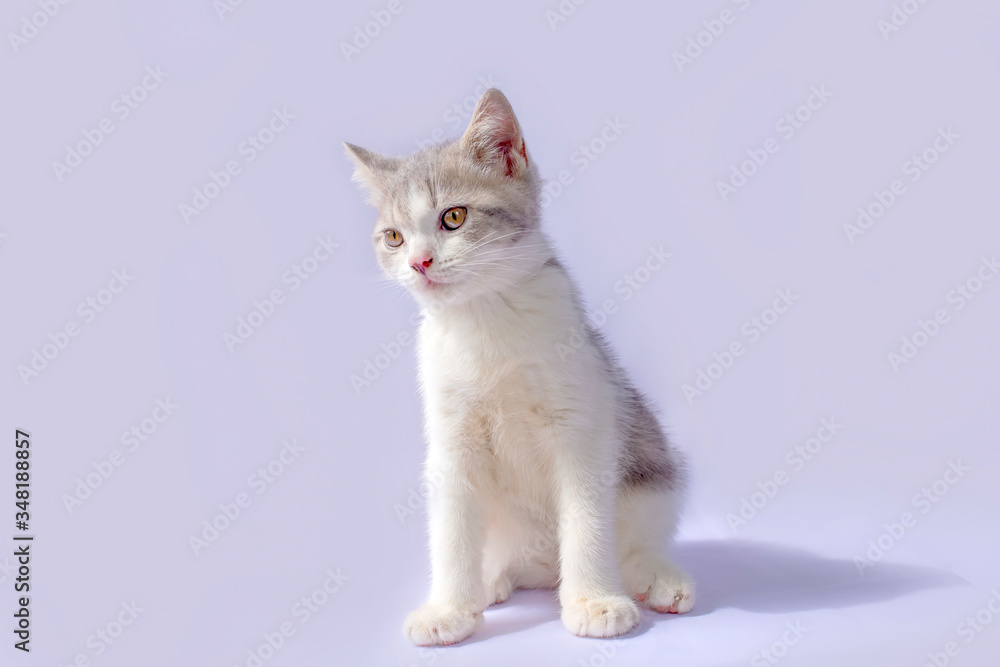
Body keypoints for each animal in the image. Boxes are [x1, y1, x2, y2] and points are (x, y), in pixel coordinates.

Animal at [348, 88, 692, 648]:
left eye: (454, 217)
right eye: (394, 237)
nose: (419, 262)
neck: (484, 319)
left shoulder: (583, 424)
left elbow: (586, 519)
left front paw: (594, 602)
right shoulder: (452, 439)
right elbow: (450, 529)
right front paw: (447, 608)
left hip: (654, 470)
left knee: (637, 539)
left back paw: (655, 578)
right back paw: (489, 581)